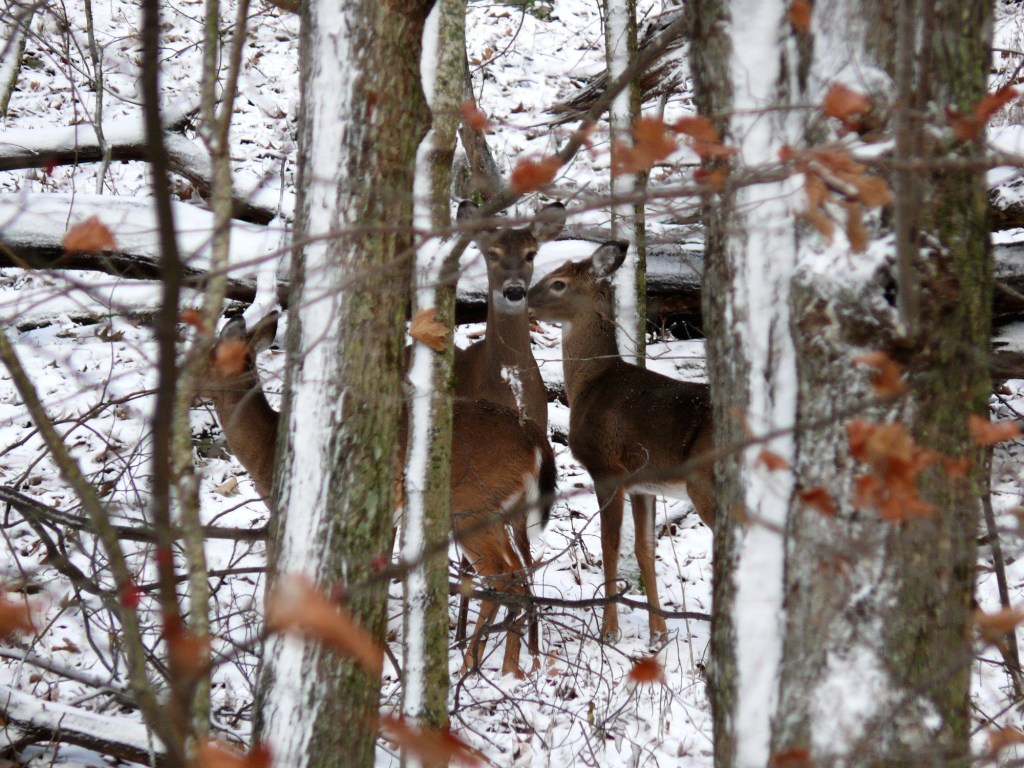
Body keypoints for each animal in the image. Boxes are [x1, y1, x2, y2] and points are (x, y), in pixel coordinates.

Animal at [197, 313, 556, 677]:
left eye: (208, 356)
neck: (268, 447)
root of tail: (538, 441)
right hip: (495, 511)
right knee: (519, 574)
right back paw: (509, 667)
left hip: (470, 506)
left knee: (505, 576)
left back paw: (473, 662)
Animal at [527, 241, 715, 644]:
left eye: (558, 283)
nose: (515, 294)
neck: (591, 384)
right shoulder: (644, 483)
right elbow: (645, 549)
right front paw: (659, 633)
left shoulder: (606, 467)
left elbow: (609, 545)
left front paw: (609, 630)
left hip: (704, 482)